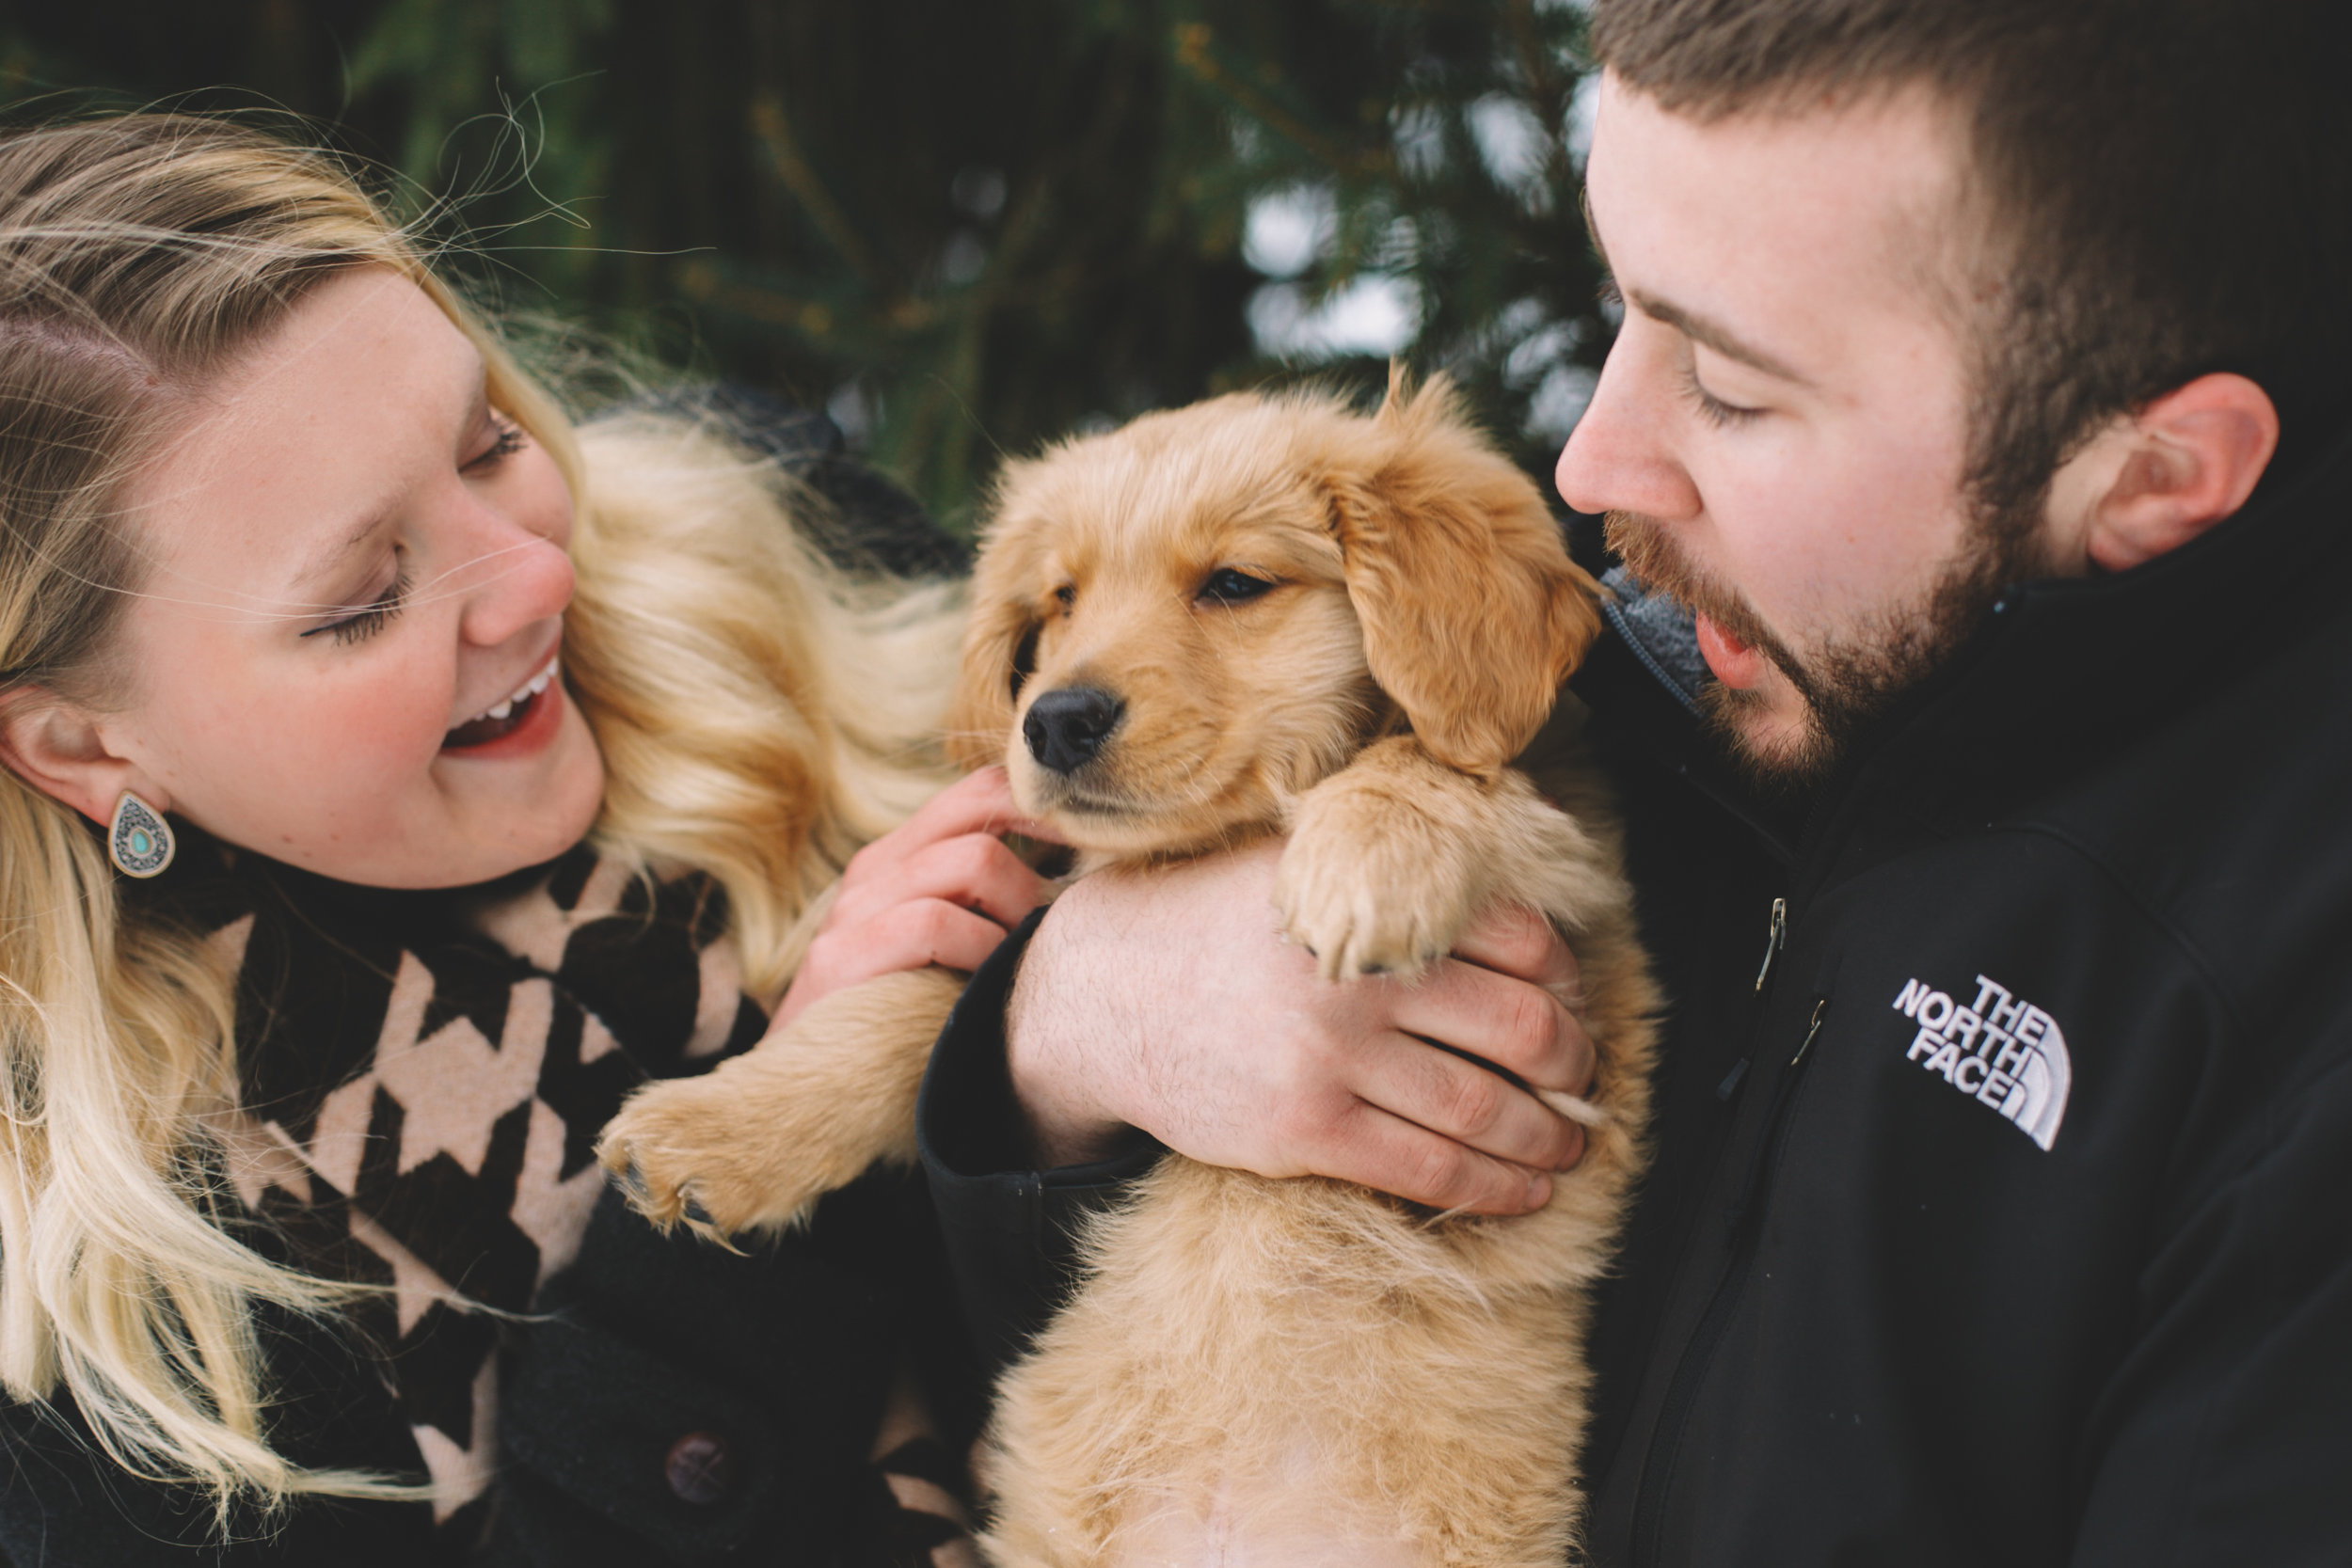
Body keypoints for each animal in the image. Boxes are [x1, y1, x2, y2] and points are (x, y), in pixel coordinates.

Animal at [597, 371, 1665, 1568]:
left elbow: (1446, 765)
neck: (1208, 846)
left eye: (1235, 584)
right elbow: (915, 1003)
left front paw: (1365, 855)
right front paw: (708, 1129)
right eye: (1059, 599)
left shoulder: (1576, 897)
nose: (1052, 720)